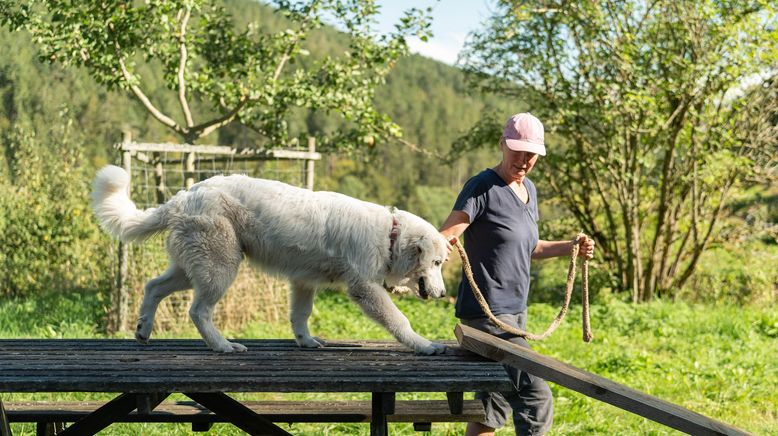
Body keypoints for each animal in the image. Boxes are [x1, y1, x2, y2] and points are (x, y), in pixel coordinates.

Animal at [91, 166, 448, 354]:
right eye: (437, 263)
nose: (444, 293)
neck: (390, 236)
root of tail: (185, 195)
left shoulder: (304, 283)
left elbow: (300, 315)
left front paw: (306, 341)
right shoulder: (365, 289)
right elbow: (399, 320)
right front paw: (424, 344)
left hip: (191, 268)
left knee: (153, 287)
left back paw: (143, 329)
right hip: (219, 268)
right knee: (198, 311)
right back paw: (223, 346)